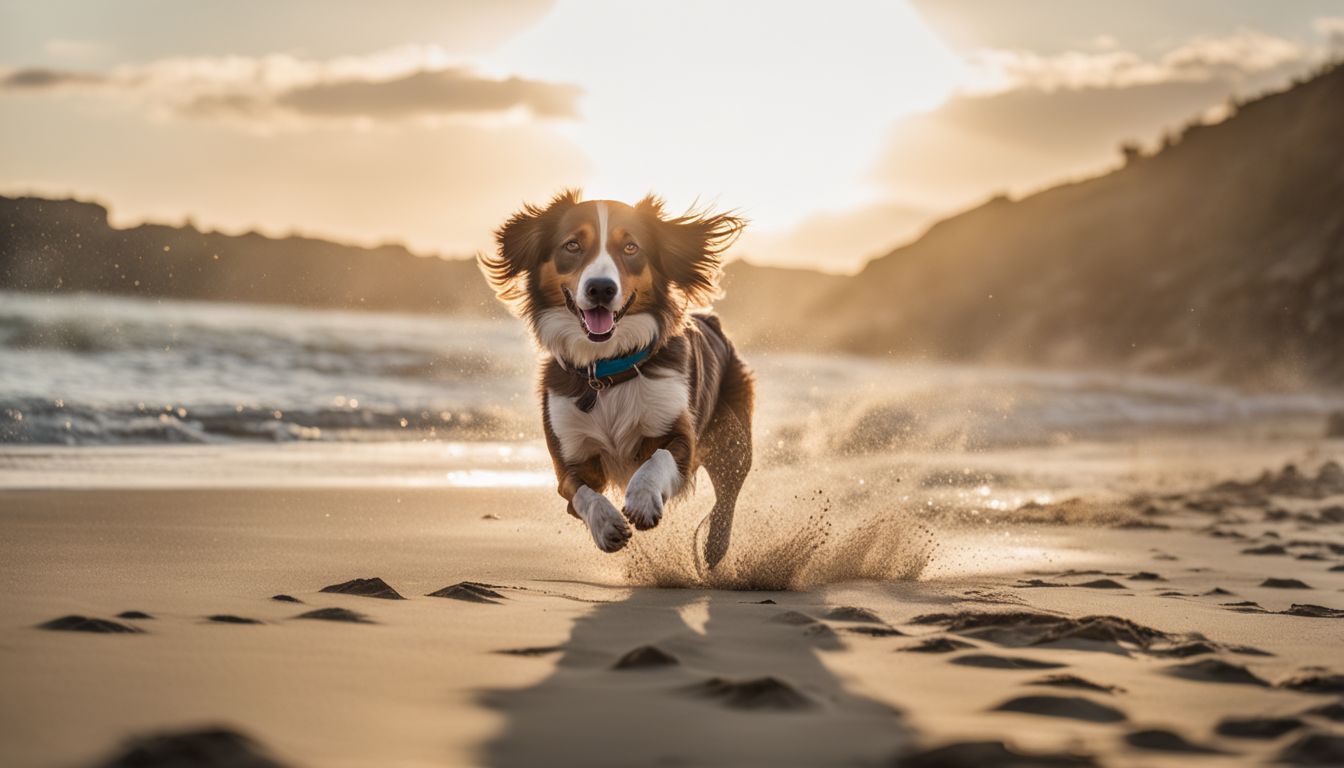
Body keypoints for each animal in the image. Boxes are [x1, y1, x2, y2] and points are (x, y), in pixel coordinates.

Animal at [481, 189, 758, 567]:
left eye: (631, 247)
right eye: (572, 245)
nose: (601, 288)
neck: (605, 372)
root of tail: (712, 321)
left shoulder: (681, 436)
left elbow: (658, 459)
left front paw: (642, 499)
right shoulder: (570, 456)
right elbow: (581, 493)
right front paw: (606, 524)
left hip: (734, 442)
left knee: (728, 494)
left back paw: (714, 547)